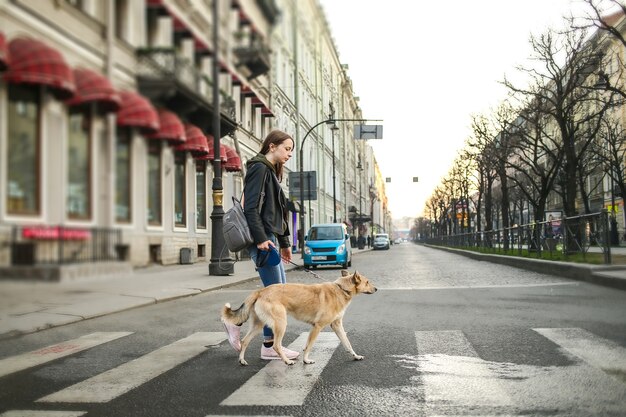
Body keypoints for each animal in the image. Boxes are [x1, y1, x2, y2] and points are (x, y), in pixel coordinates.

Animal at [221, 270, 376, 364]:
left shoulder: (337, 325)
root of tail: (261, 291)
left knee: (244, 341)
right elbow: (309, 346)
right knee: (276, 345)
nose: (376, 289)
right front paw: (306, 360)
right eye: (367, 282)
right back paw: (287, 361)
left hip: (258, 325)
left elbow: (347, 343)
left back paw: (242, 360)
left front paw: (355, 356)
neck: (341, 289)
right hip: (281, 324)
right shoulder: (317, 327)